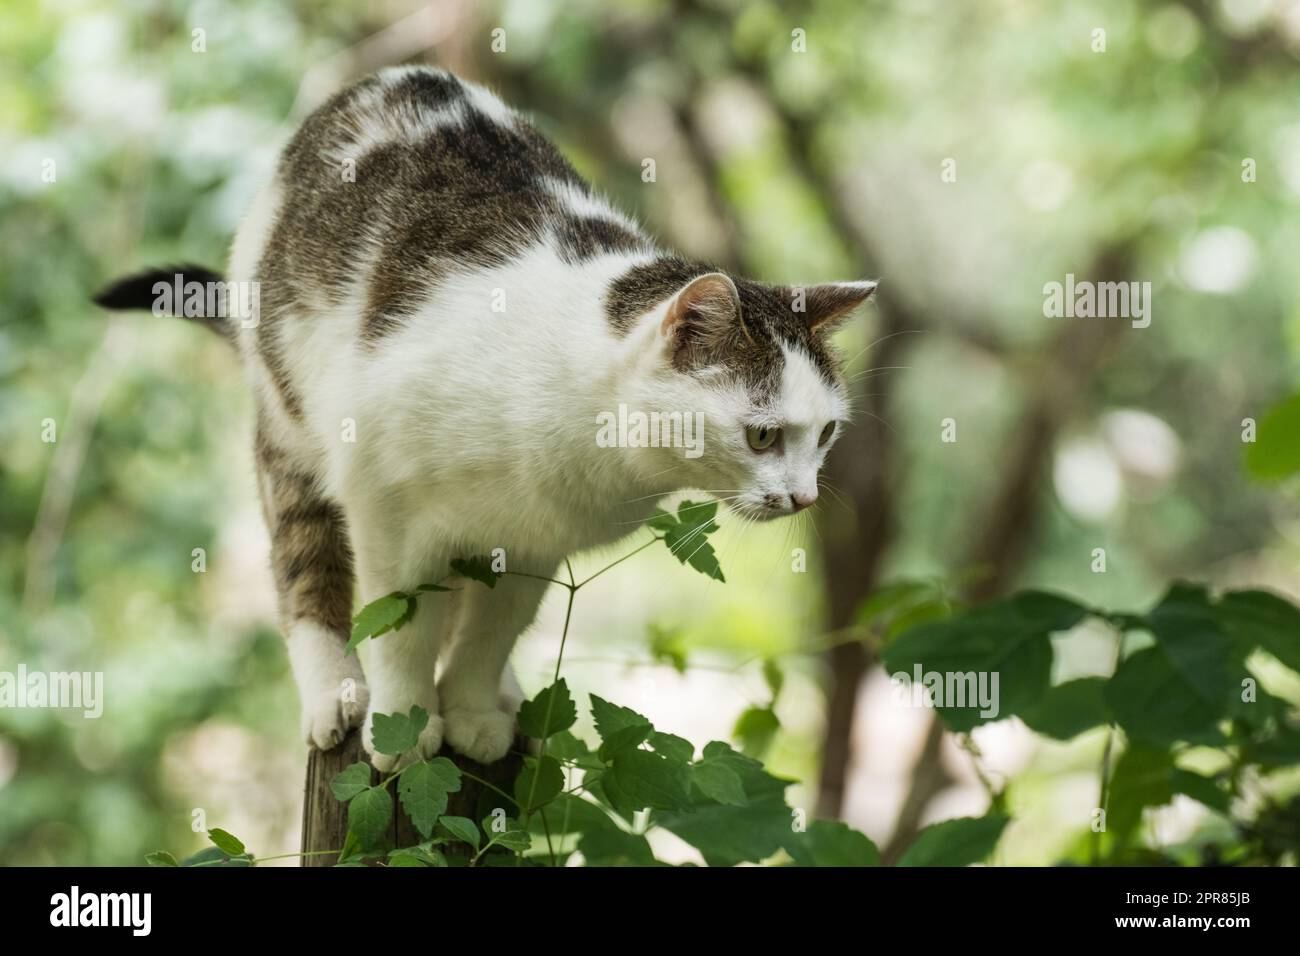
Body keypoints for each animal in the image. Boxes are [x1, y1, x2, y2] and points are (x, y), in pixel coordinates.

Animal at [96, 65, 878, 770]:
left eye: (826, 433)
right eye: (763, 434)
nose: (804, 496)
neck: (593, 445)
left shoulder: (534, 544)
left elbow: (488, 633)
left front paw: (469, 711)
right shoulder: (386, 509)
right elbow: (402, 626)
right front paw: (405, 724)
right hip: (291, 427)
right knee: (305, 567)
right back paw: (335, 695)